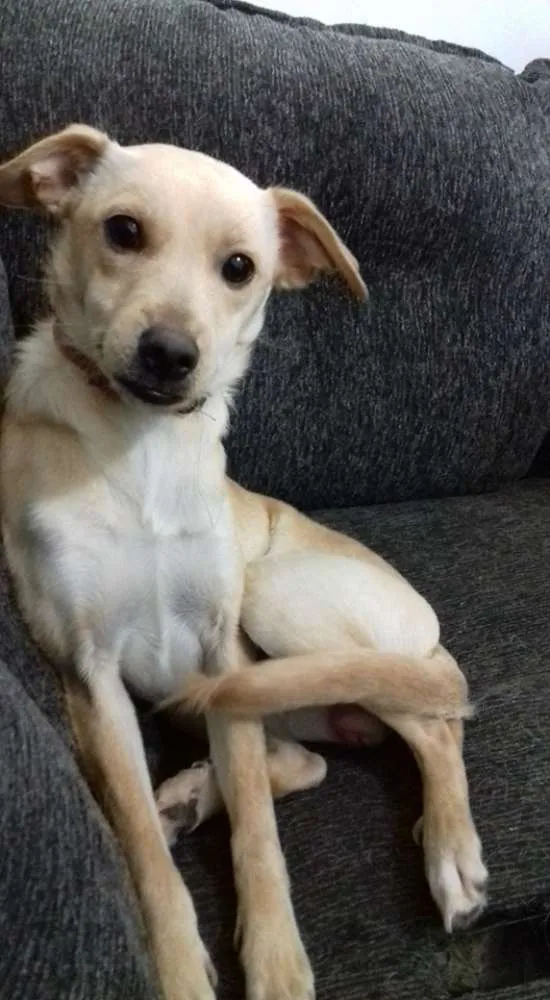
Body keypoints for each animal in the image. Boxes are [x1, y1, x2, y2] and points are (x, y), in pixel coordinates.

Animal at [0, 125, 487, 1000]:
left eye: (239, 268)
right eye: (123, 231)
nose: (169, 355)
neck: (143, 443)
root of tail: (427, 626)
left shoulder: (221, 645)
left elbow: (260, 833)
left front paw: (277, 962)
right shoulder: (91, 674)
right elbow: (146, 851)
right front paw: (179, 967)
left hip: (283, 606)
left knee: (432, 724)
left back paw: (451, 855)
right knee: (303, 758)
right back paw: (190, 797)